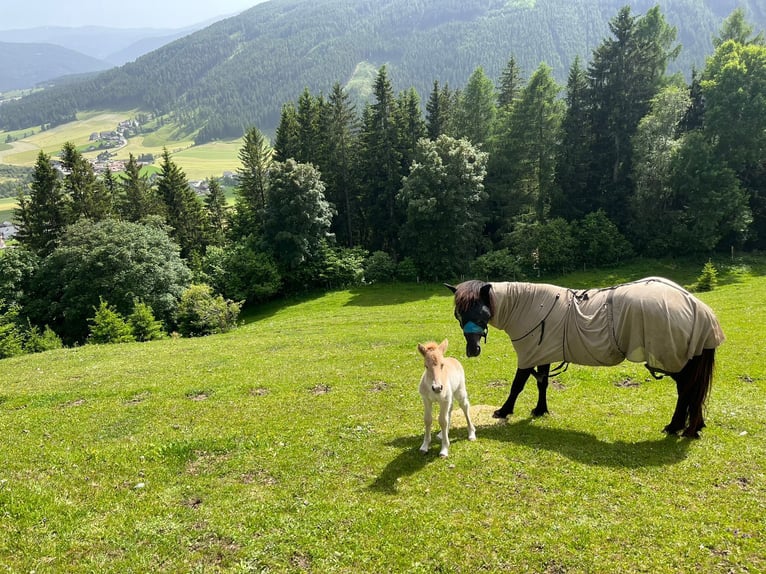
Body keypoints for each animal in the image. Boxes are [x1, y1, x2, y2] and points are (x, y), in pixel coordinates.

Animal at [444, 276, 728, 438]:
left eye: (480, 311)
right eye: (459, 314)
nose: (472, 350)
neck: (528, 305)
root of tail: (698, 308)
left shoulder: (528, 355)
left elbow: (517, 385)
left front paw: (503, 411)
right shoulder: (543, 352)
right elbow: (542, 383)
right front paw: (540, 410)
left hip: (676, 362)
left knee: (686, 392)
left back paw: (677, 426)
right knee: (692, 394)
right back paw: (691, 426)